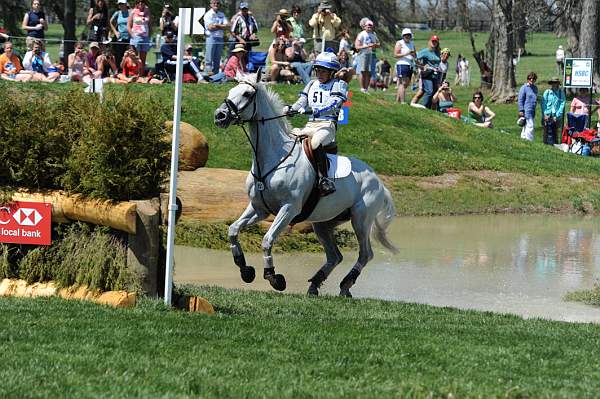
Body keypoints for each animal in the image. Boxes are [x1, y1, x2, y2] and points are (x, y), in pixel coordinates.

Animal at [213, 71, 396, 296]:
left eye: (247, 94)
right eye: (231, 90)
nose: (220, 116)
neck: (273, 158)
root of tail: (379, 182)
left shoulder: (288, 209)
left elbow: (267, 240)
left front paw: (274, 278)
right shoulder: (259, 208)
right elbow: (233, 230)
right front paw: (245, 269)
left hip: (360, 219)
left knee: (365, 254)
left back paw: (345, 285)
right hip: (324, 223)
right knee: (335, 256)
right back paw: (315, 285)